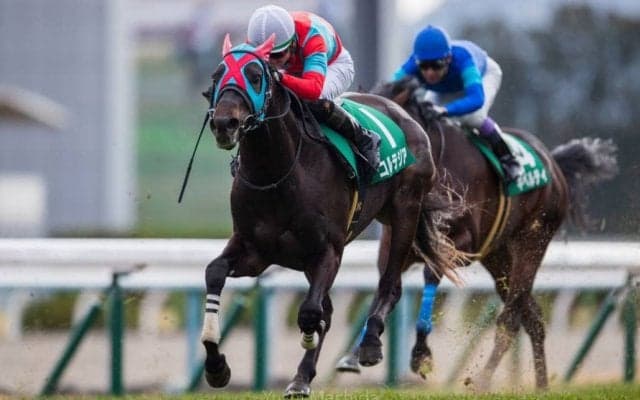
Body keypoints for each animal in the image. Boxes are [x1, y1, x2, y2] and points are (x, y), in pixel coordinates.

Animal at [199, 36, 463, 397]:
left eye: (255, 76)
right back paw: (303, 376)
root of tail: (403, 115)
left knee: (389, 284)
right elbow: (214, 272)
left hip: (405, 212)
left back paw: (366, 346)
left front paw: (308, 347)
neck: (279, 174)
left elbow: (311, 312)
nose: (225, 124)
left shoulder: (327, 251)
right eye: (216, 76)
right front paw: (216, 366)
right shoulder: (254, 251)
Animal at [335, 77, 618, 390]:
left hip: (532, 242)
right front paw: (355, 354)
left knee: (510, 319)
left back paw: (483, 379)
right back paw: (542, 385)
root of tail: (554, 165)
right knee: (532, 316)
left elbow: (430, 274)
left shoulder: (462, 245)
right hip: (498, 257)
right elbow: (385, 284)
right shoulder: (397, 245)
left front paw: (421, 354)